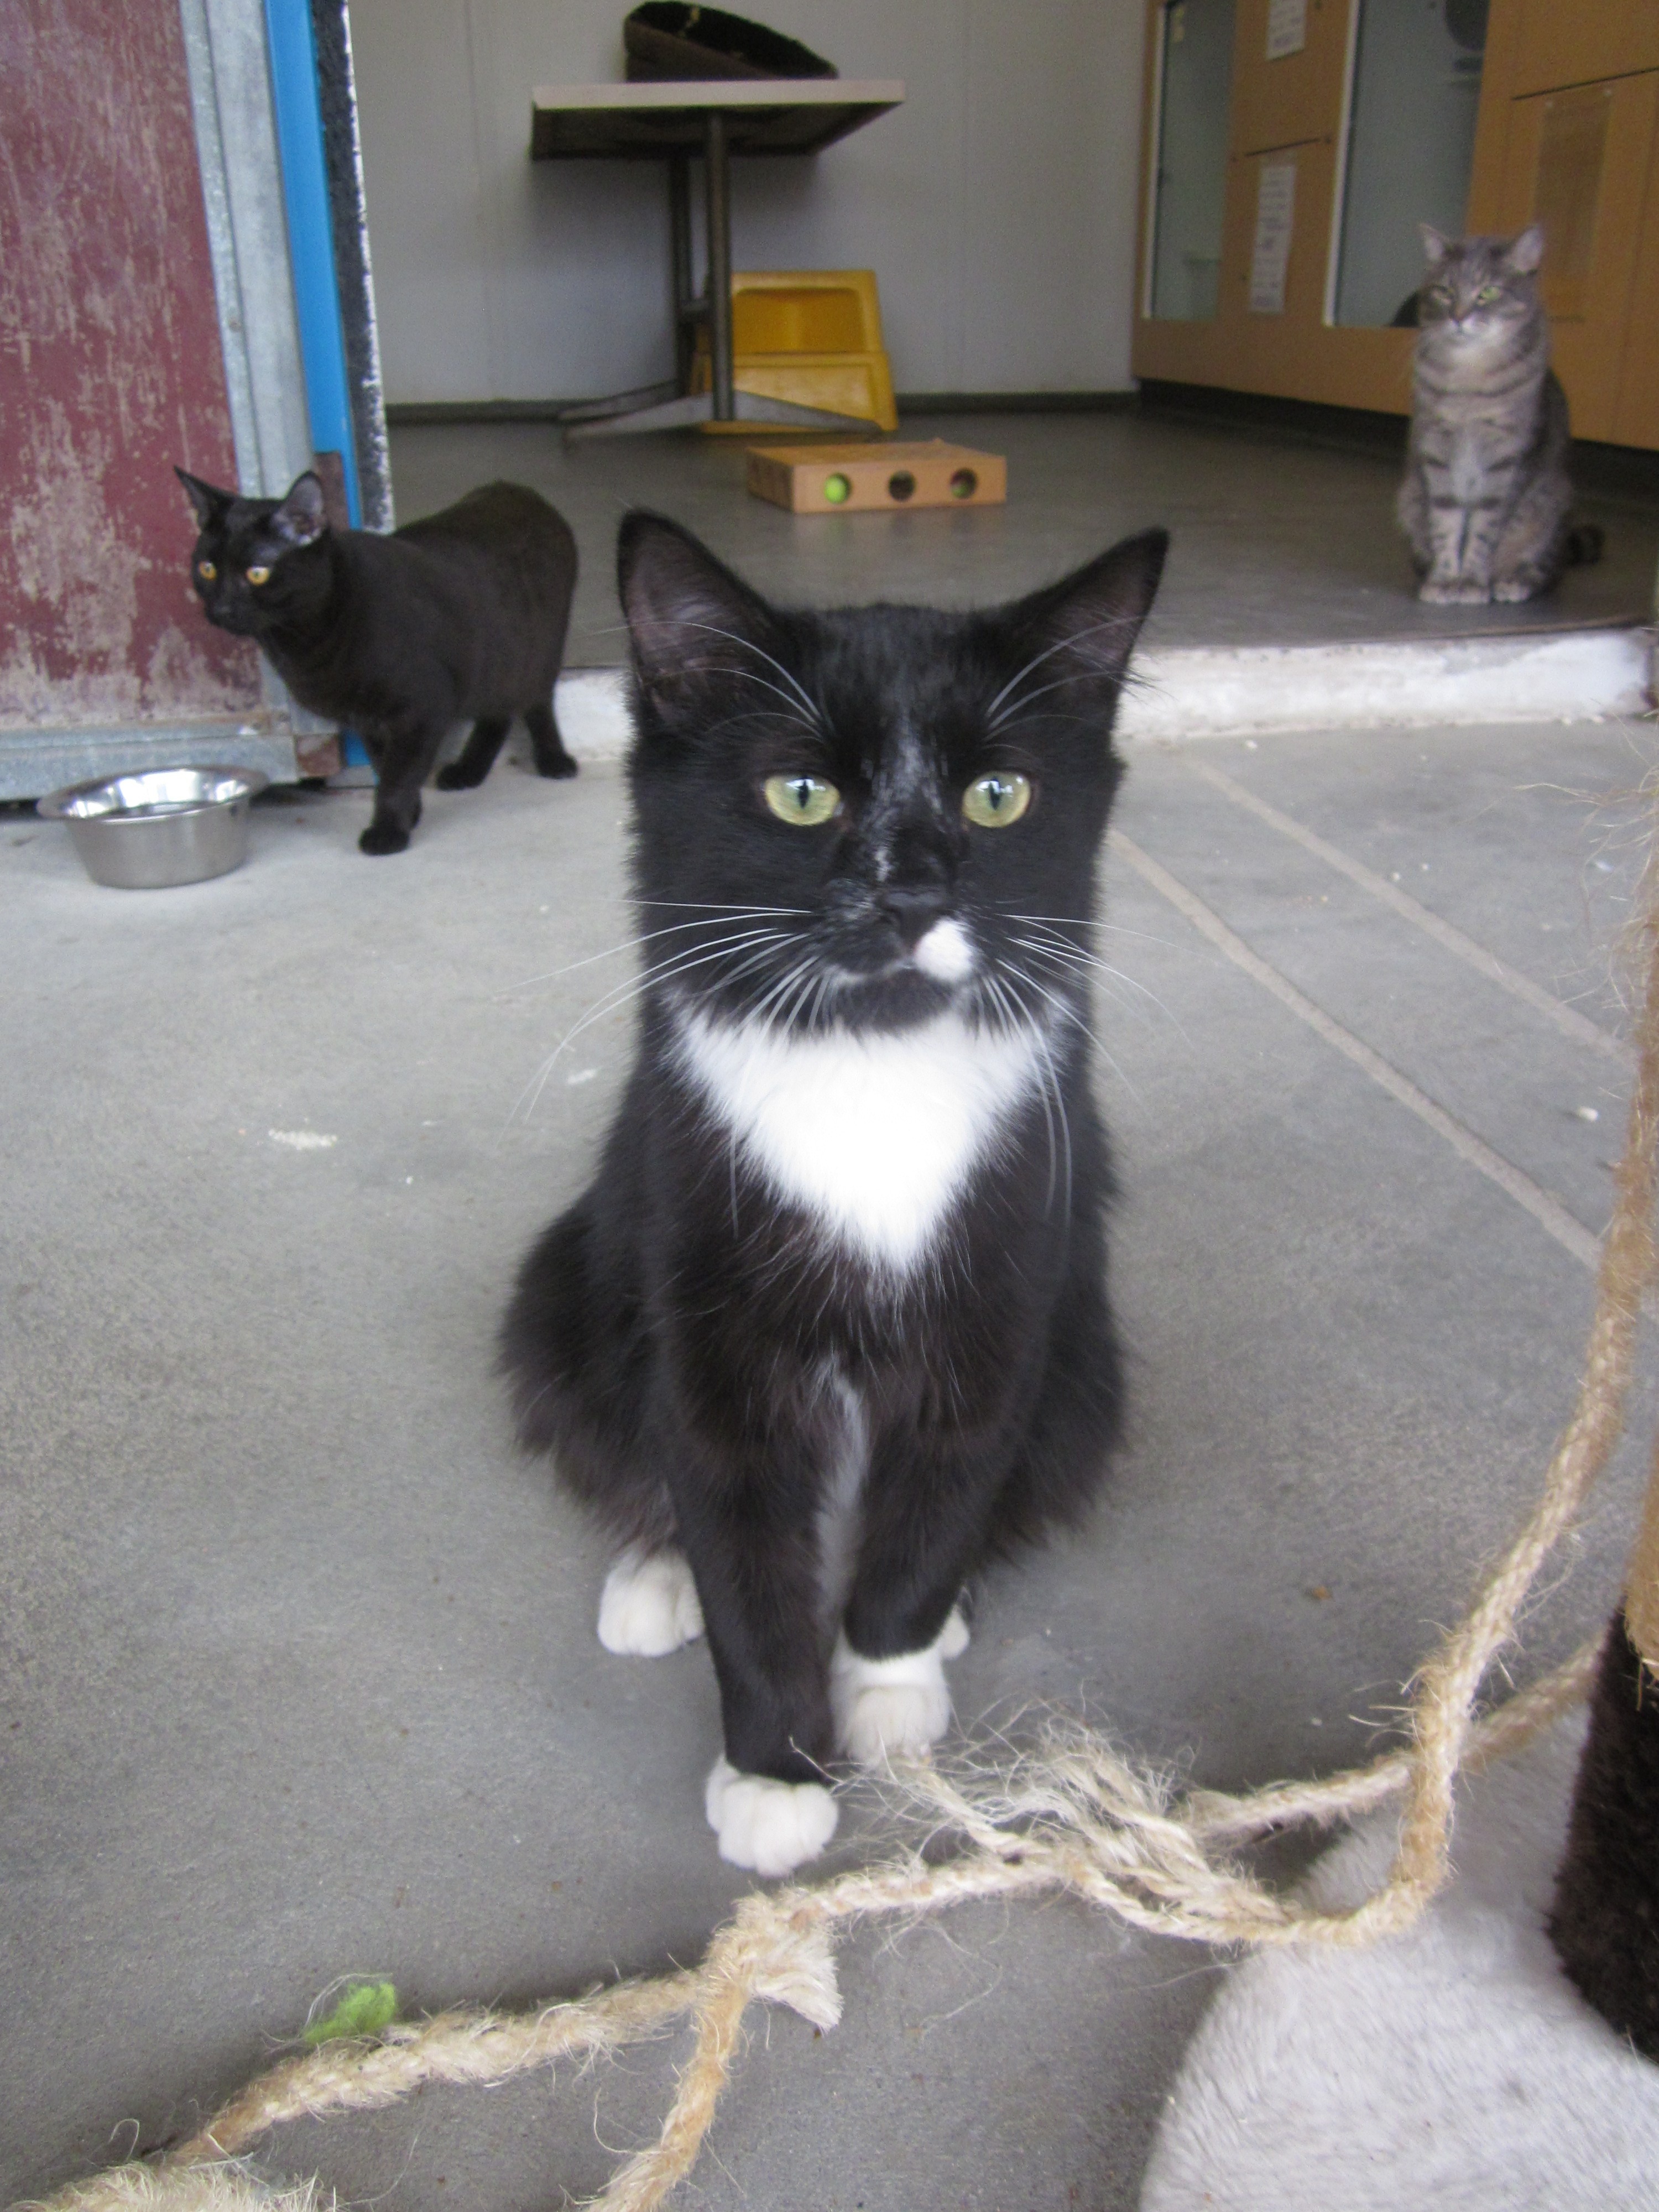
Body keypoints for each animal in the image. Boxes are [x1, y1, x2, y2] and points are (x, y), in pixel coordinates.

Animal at [177, 469, 579, 854]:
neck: (303, 640)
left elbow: (397, 778)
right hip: (492, 663)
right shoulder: (367, 719)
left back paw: (554, 760)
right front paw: (411, 813)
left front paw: (387, 832)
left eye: (258, 573)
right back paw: (468, 771)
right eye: (207, 569)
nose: (221, 609)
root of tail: (517, 489)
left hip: (537, 650)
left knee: (537, 702)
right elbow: (385, 767)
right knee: (499, 712)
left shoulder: (422, 709)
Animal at [500, 510, 1167, 1877]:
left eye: (998, 795)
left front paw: (890, 1679)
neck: (870, 1060)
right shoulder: (701, 1295)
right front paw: (775, 1774)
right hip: (568, 1283)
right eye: (800, 793)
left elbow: (944, 1491)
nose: (911, 894)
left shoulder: (1008, 1289)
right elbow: (735, 1530)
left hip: (1087, 1363)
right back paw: (654, 1577)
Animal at [1398, 223, 1602, 606]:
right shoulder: (1438, 454)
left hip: (1550, 504)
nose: (1458, 317)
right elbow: (1446, 523)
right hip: (1409, 497)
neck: (1469, 382)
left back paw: (1513, 581)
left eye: (1488, 292)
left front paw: (1472, 582)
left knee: (1547, 570)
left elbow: (1483, 531)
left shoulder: (1507, 463)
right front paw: (1445, 579)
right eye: (1445, 291)